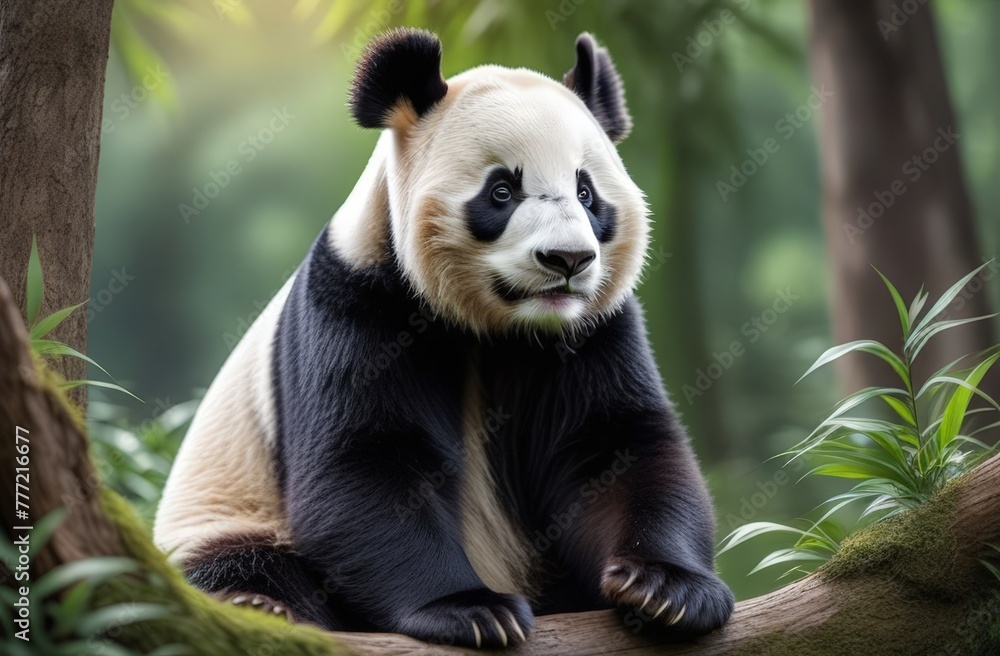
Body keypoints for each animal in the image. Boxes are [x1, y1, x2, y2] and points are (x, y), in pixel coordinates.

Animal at [154, 28, 734, 648]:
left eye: (586, 193)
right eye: (502, 191)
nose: (568, 260)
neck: (496, 327)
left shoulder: (592, 329)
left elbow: (613, 447)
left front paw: (666, 589)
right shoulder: (356, 299)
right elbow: (366, 463)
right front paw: (471, 610)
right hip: (223, 508)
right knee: (240, 560)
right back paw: (261, 604)